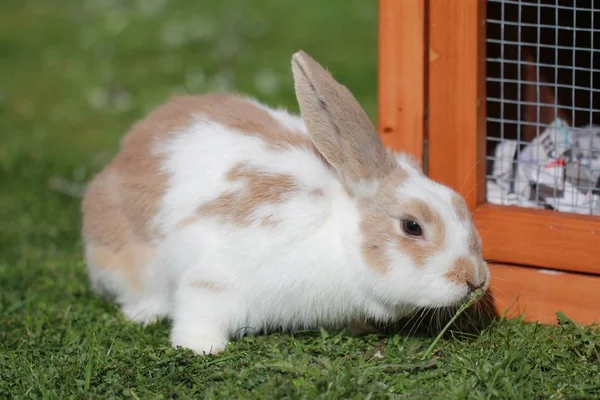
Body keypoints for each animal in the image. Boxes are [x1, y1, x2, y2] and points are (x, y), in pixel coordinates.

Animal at [81, 50, 492, 356]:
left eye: (460, 203)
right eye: (412, 226)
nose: (474, 279)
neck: (340, 238)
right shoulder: (214, 278)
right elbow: (199, 310)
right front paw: (202, 347)